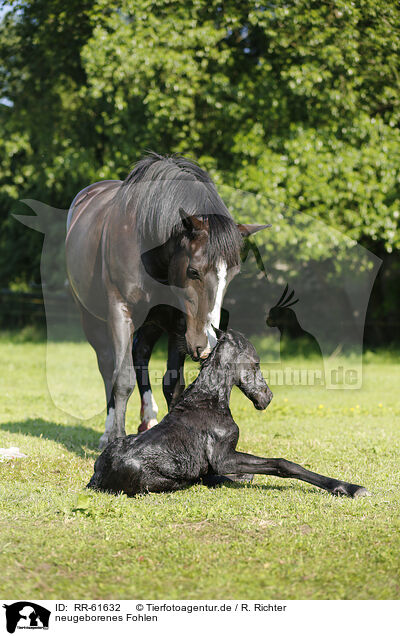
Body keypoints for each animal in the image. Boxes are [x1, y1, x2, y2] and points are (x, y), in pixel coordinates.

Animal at [65, 154, 266, 448]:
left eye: (232, 274)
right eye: (193, 271)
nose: (207, 344)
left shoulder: (178, 324)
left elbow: (173, 384)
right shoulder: (120, 313)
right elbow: (122, 379)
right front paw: (116, 438)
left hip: (152, 322)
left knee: (140, 353)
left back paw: (148, 418)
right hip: (91, 318)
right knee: (107, 366)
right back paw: (108, 431)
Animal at [86, 330, 368, 500]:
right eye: (256, 363)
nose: (267, 397)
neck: (209, 399)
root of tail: (96, 479)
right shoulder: (224, 458)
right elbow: (282, 464)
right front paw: (351, 488)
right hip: (169, 482)